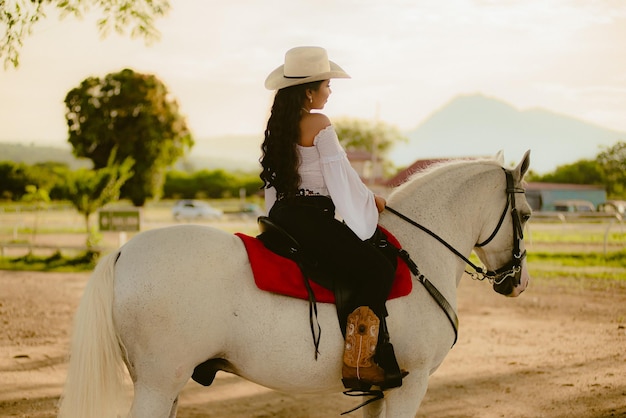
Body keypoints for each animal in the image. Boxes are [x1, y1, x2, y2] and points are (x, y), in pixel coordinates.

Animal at [57, 150, 528, 418]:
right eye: (524, 214)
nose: (517, 283)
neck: (418, 253)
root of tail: (123, 253)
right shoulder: (410, 385)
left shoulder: (381, 391)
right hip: (159, 383)